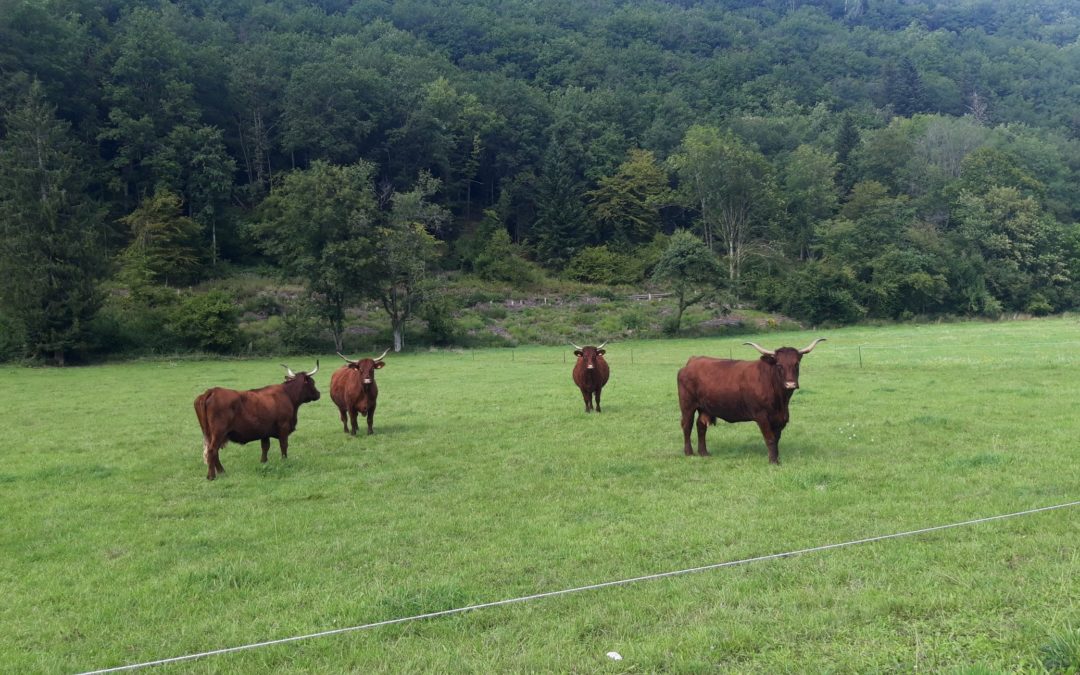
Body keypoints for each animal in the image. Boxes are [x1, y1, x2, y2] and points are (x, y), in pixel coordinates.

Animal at [673, 336, 825, 462]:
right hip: (687, 405)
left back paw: (704, 453)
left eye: (796, 364)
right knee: (687, 426)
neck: (781, 401)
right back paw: (689, 453)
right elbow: (770, 438)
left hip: (705, 407)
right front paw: (773, 462)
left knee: (701, 426)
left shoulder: (781, 417)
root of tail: (693, 361)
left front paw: (776, 458)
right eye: (779, 365)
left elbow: (776, 439)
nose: (790, 384)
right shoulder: (761, 415)